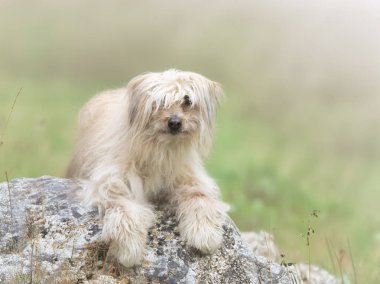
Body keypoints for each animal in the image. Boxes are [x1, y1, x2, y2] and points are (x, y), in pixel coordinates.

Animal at [66, 69, 229, 266]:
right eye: (160, 102)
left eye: (187, 101)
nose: (175, 122)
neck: (161, 148)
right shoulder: (111, 182)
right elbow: (125, 207)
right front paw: (129, 247)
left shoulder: (190, 178)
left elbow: (200, 198)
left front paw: (205, 234)